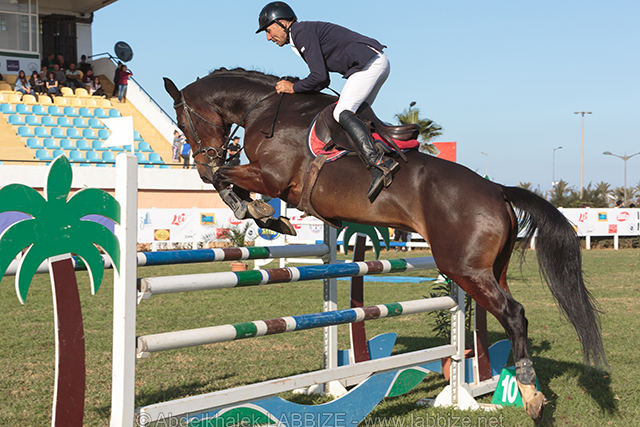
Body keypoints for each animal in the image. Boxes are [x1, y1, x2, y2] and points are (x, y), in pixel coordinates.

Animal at [163, 68, 606, 424]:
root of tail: (497, 190)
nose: (197, 163)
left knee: (513, 314)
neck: (267, 108)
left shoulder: (271, 177)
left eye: (183, 123)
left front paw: (258, 210)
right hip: (490, 269)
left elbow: (225, 179)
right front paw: (264, 213)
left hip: (465, 269)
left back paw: (530, 395)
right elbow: (228, 180)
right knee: (514, 314)